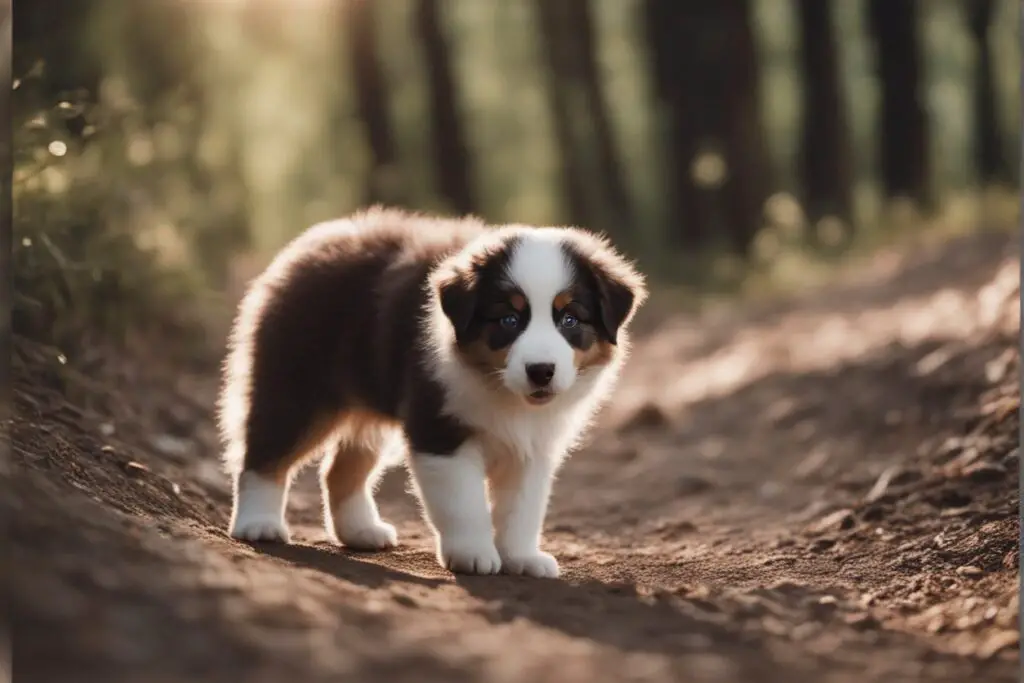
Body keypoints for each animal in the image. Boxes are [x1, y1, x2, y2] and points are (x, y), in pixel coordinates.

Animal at [219, 206, 643, 577]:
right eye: (509, 319)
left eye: (569, 319)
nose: (541, 371)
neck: (498, 387)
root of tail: (313, 243)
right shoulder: (439, 427)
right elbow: (463, 502)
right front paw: (473, 554)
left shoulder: (532, 447)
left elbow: (523, 507)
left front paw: (522, 558)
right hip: (295, 385)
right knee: (264, 454)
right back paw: (258, 524)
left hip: (368, 405)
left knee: (340, 469)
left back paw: (361, 531)